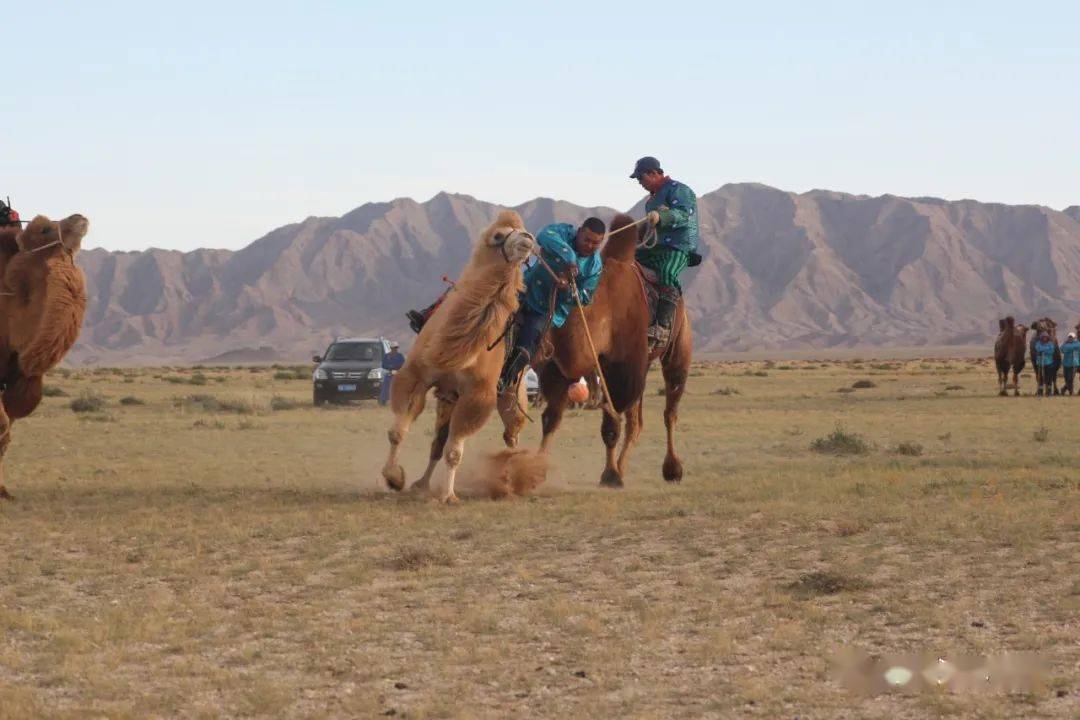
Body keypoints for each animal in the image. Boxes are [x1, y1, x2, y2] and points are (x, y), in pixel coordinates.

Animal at [0, 212, 89, 500]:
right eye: (45, 230)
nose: (80, 218)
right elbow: (2, 425)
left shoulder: (20, 376)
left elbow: (7, 430)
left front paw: (3, 491)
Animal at [384, 211, 544, 505]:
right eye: (499, 235)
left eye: (524, 229)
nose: (528, 238)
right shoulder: (417, 375)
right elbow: (398, 432)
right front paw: (394, 478)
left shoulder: (477, 394)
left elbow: (454, 450)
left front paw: (447, 495)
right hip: (448, 397)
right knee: (437, 441)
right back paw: (421, 483)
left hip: (511, 396)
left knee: (511, 432)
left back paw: (510, 471)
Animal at [498, 211, 691, 487]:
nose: (520, 237)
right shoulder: (559, 370)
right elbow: (551, 419)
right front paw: (535, 470)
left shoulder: (617, 368)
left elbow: (611, 425)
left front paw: (610, 475)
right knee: (637, 423)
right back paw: (624, 467)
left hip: (677, 350)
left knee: (669, 411)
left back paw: (672, 469)